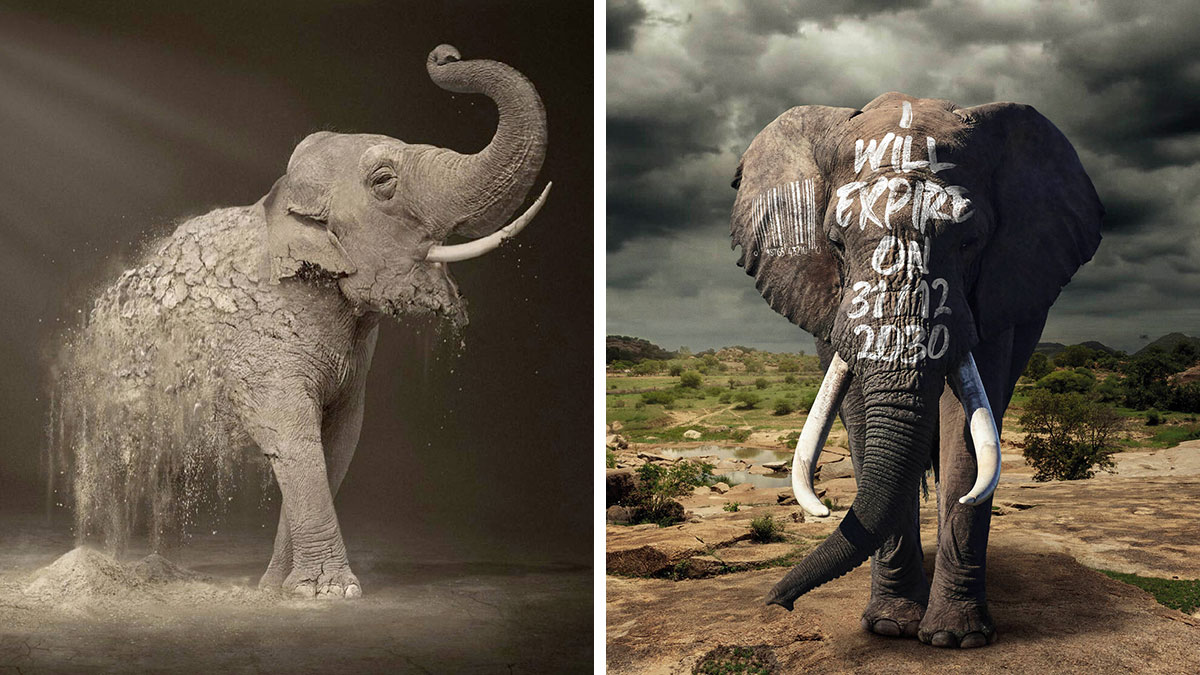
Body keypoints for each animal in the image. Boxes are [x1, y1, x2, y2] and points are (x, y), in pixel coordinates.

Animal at [53, 44, 549, 598]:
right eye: (384, 182)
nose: (444, 54)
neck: (281, 201)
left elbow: (338, 442)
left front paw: (276, 589)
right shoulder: (261, 343)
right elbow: (291, 434)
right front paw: (329, 593)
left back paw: (156, 568)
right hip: (104, 388)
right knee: (116, 465)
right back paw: (104, 565)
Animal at [729, 92, 1102, 647]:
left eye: (970, 242)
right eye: (835, 243)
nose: (779, 602)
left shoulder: (994, 295)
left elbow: (966, 429)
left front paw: (956, 638)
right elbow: (860, 417)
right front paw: (890, 627)